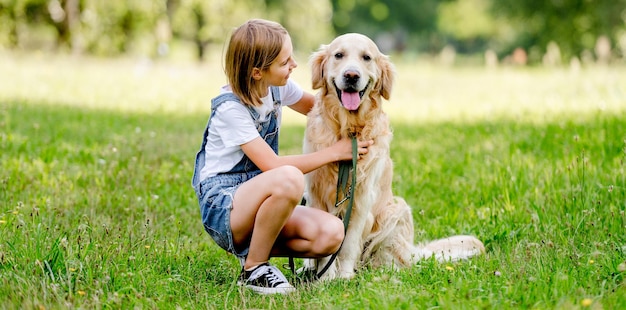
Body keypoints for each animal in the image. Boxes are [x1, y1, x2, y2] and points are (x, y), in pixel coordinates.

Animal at [302, 32, 482, 280]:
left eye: (367, 57)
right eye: (338, 55)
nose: (351, 75)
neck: (349, 129)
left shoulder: (362, 198)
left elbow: (347, 245)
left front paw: (344, 277)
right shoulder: (315, 194)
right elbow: (326, 248)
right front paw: (325, 278)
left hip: (396, 210)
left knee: (390, 261)